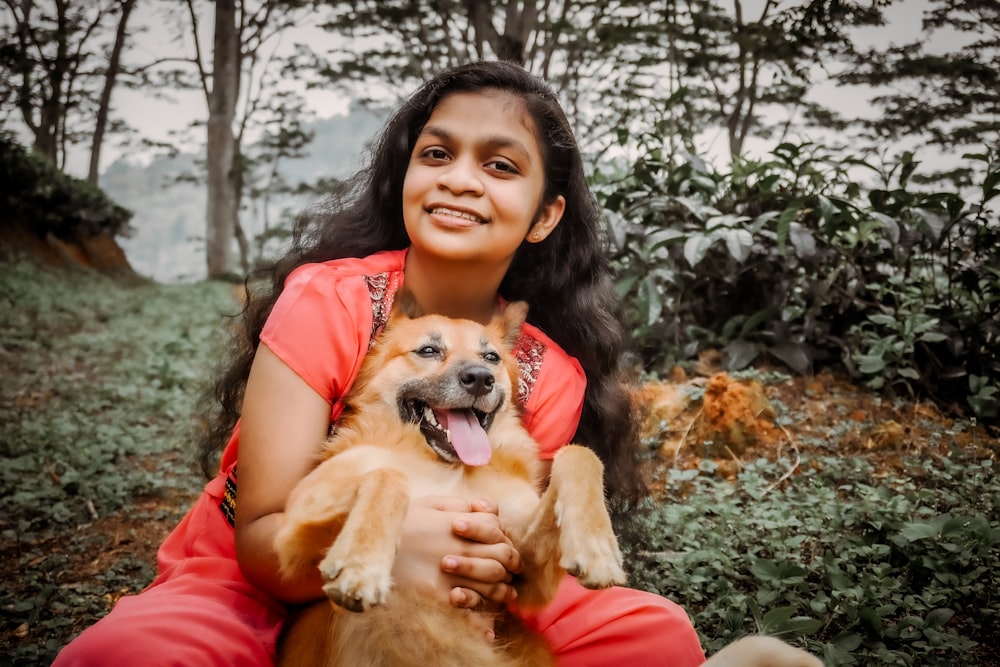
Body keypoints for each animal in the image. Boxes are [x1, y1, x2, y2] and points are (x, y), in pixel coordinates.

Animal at [272, 292, 820, 667]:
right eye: (428, 351)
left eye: (491, 357)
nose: (479, 379)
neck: (448, 468)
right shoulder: (294, 535)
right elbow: (387, 476)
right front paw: (362, 563)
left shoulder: (523, 572)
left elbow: (581, 457)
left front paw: (596, 545)